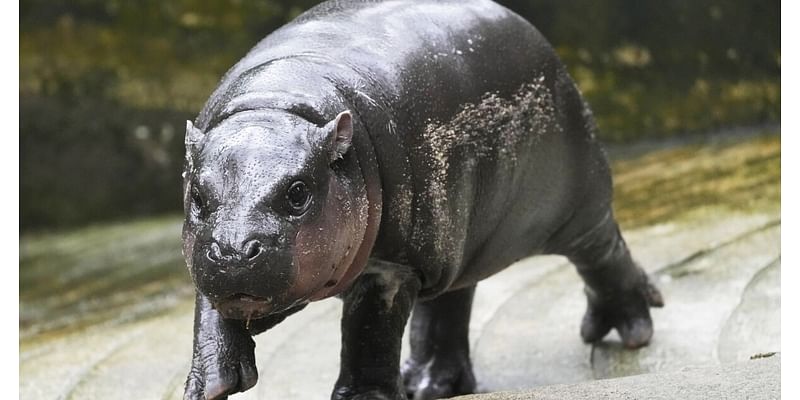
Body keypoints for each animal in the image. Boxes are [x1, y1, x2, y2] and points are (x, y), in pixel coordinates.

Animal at [180, 0, 664, 400]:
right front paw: (210, 386)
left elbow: (370, 334)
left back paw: (629, 330)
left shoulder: (394, 265)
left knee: (603, 253)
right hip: (457, 241)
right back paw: (430, 384)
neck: (276, 106)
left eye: (298, 192)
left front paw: (364, 399)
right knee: (449, 304)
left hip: (575, 206)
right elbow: (210, 315)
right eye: (197, 195)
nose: (233, 252)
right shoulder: (207, 260)